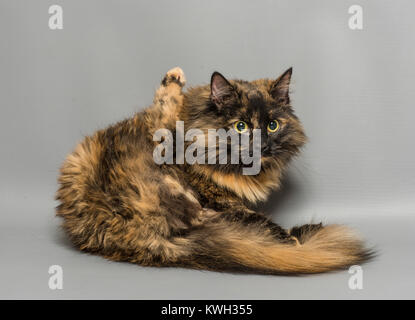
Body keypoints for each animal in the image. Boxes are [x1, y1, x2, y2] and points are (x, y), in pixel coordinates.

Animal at [56, 66, 374, 274]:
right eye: (241, 126)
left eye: (272, 125)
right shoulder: (220, 197)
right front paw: (291, 241)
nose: (262, 145)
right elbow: (256, 219)